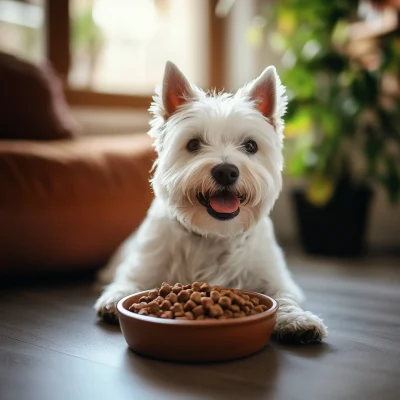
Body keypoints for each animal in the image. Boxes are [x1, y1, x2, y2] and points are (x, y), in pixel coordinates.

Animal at [95, 61, 326, 344]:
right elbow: (129, 282)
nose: (226, 171)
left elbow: (283, 297)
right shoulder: (144, 267)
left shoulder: (274, 276)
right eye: (193, 144)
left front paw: (297, 320)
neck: (213, 234)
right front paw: (113, 299)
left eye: (251, 146)